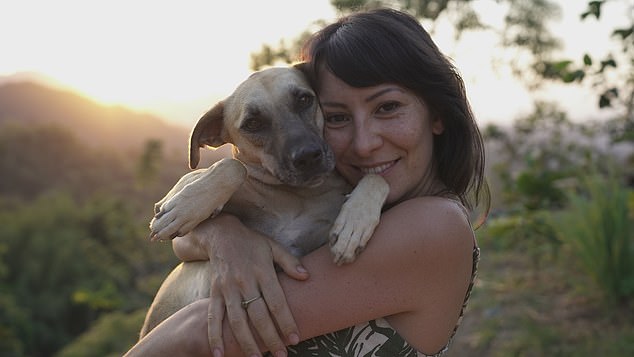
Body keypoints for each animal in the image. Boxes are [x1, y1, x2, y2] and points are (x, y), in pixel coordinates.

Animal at [137, 64, 390, 336]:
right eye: (253, 123)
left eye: (304, 99)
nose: (308, 157)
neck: (296, 196)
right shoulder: (183, 183)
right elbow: (233, 166)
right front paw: (183, 209)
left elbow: (377, 179)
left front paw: (353, 225)